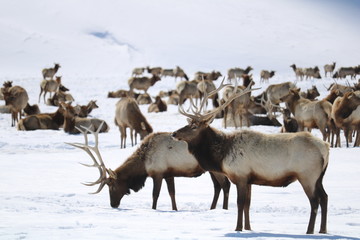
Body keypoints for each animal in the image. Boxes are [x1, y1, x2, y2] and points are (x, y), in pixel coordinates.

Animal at [171, 79, 330, 234]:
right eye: (188, 123)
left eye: (194, 126)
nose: (174, 133)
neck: (222, 156)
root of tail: (325, 148)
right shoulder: (249, 179)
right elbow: (248, 204)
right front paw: (248, 228)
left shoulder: (240, 175)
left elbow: (240, 203)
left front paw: (237, 228)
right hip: (319, 177)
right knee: (324, 197)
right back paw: (322, 230)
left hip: (307, 175)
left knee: (314, 201)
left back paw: (309, 231)